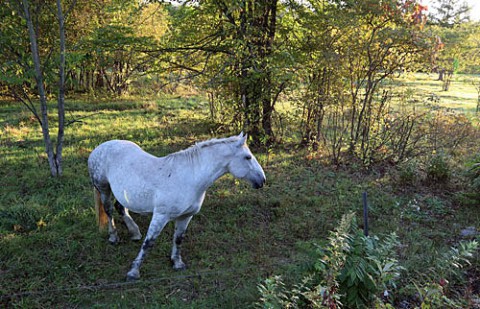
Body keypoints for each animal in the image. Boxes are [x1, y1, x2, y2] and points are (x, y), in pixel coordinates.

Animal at [87, 131, 266, 280]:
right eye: (248, 157)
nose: (262, 180)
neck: (189, 178)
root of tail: (100, 148)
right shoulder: (160, 216)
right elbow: (149, 242)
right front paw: (133, 272)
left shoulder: (186, 216)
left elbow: (178, 239)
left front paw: (177, 263)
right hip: (104, 188)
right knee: (109, 210)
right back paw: (113, 237)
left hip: (124, 193)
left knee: (121, 207)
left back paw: (134, 232)